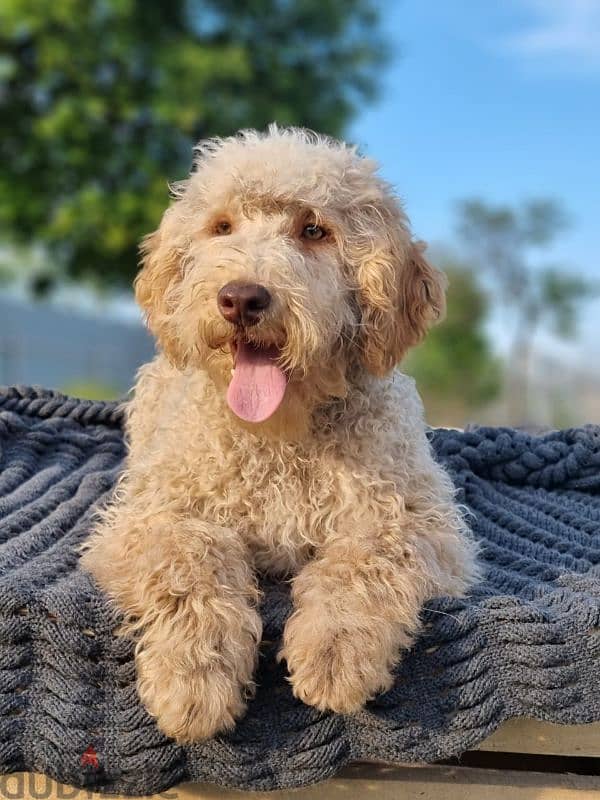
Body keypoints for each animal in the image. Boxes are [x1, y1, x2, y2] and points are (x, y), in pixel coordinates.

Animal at [82, 126, 480, 744]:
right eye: (221, 226)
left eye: (314, 230)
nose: (241, 298)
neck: (279, 436)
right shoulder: (146, 518)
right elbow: (190, 557)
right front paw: (194, 676)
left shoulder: (422, 520)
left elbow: (367, 556)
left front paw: (336, 650)